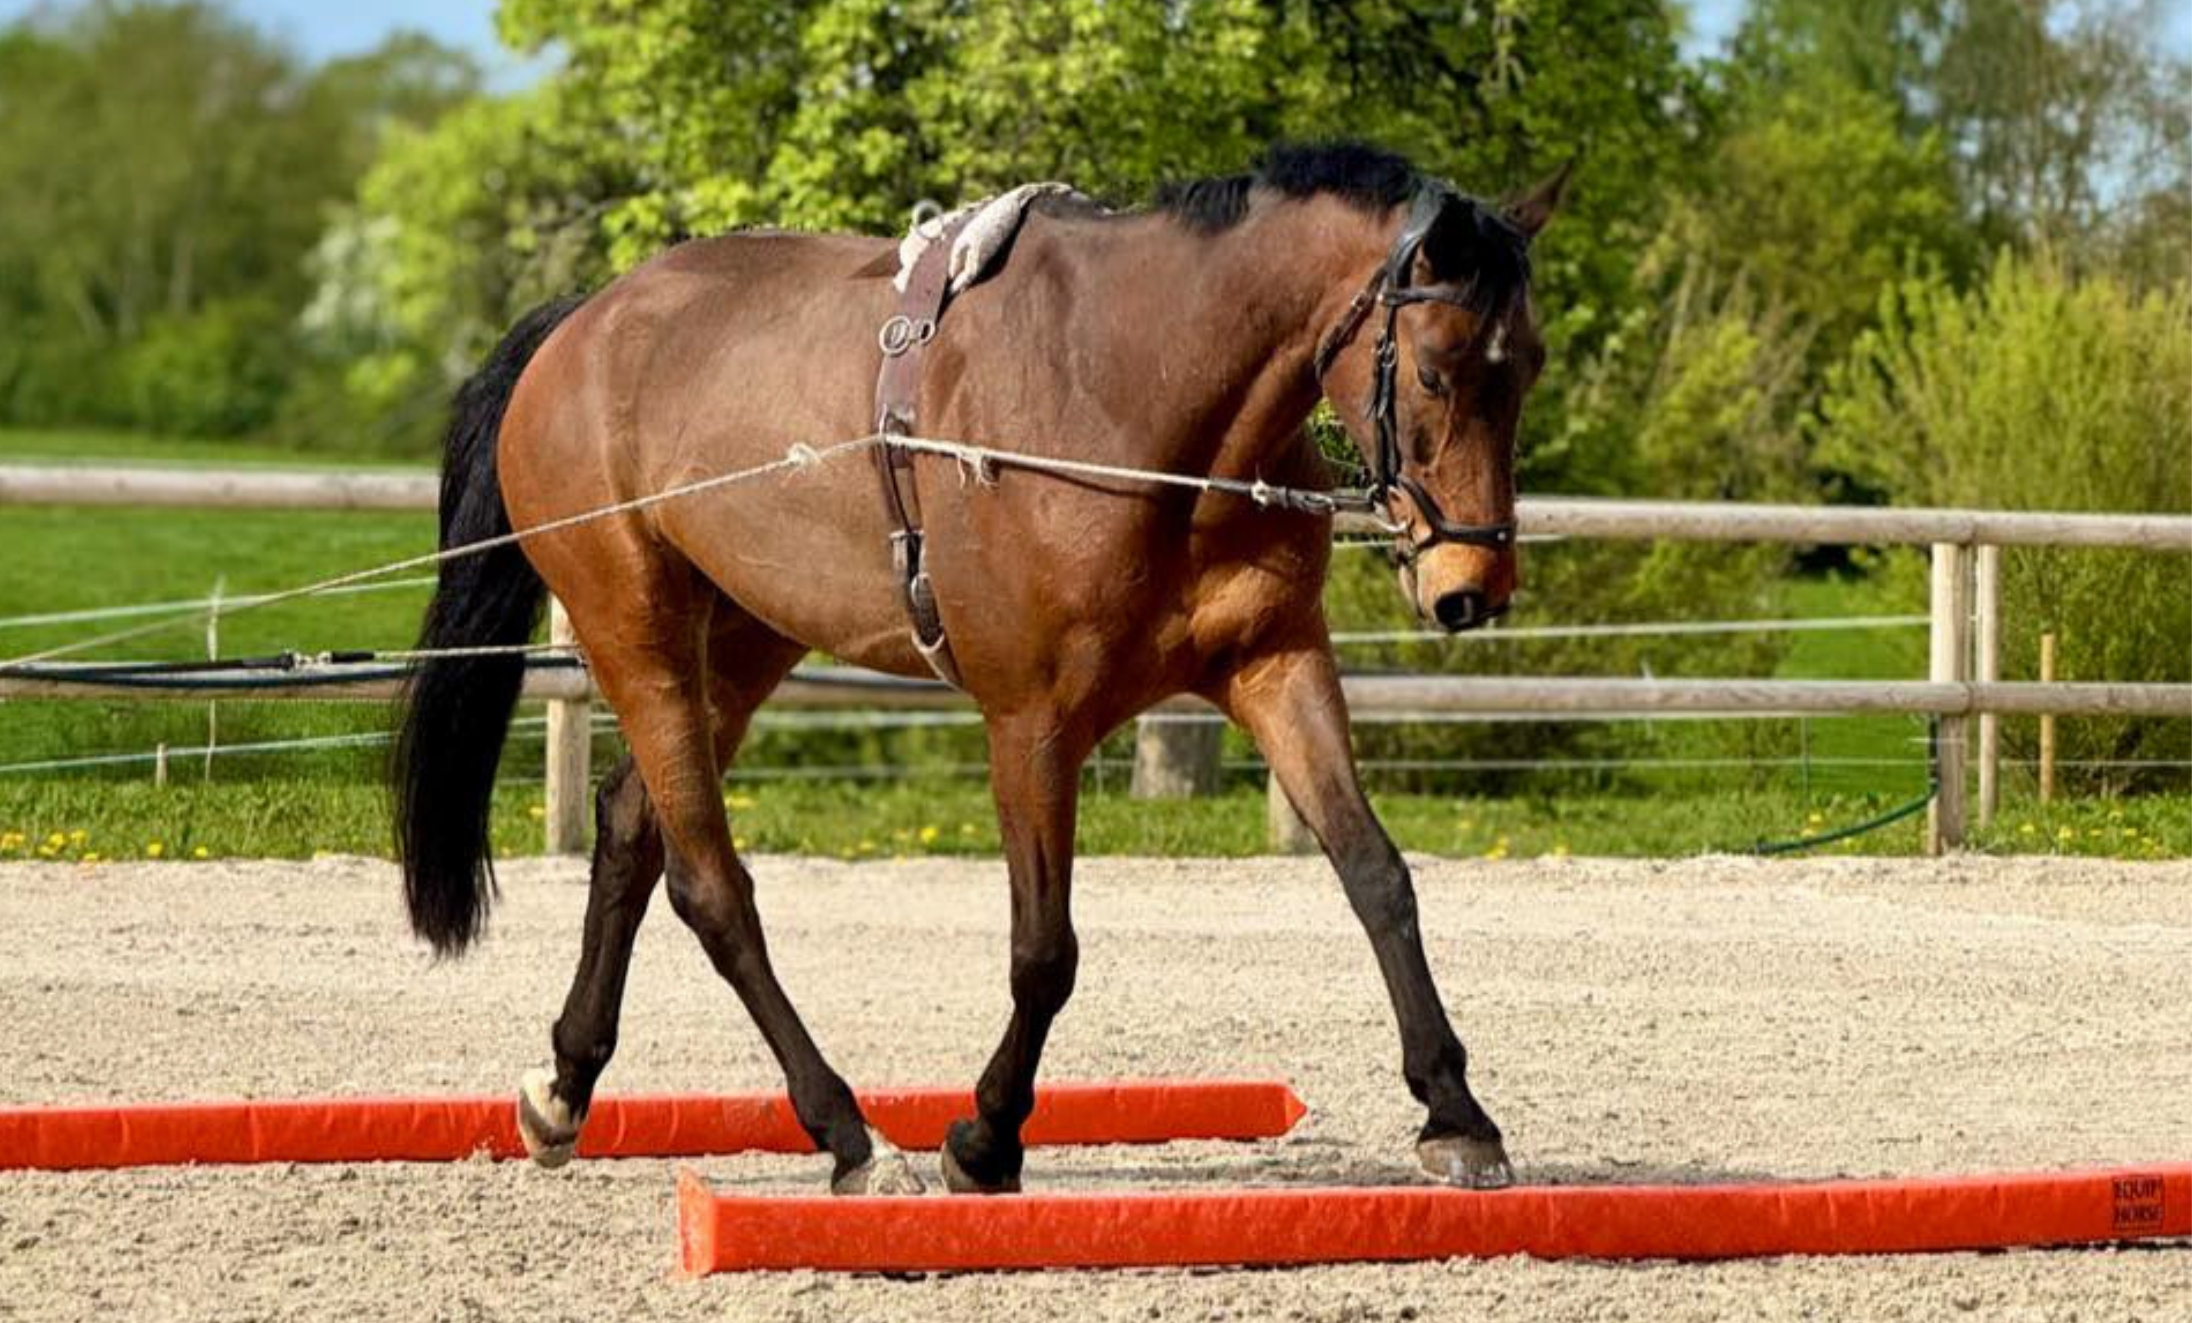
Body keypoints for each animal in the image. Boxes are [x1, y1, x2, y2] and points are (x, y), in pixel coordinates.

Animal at [392, 141, 1566, 1196]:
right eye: (1432, 369)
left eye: (1529, 365)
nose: (1470, 586)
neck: (1131, 401)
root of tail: (577, 326)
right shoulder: (1031, 723)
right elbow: (1044, 951)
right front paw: (985, 1138)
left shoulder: (1274, 665)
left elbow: (1376, 875)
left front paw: (1457, 1116)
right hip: (636, 633)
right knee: (709, 884)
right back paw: (851, 1137)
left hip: (740, 641)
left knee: (634, 833)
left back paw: (564, 1090)